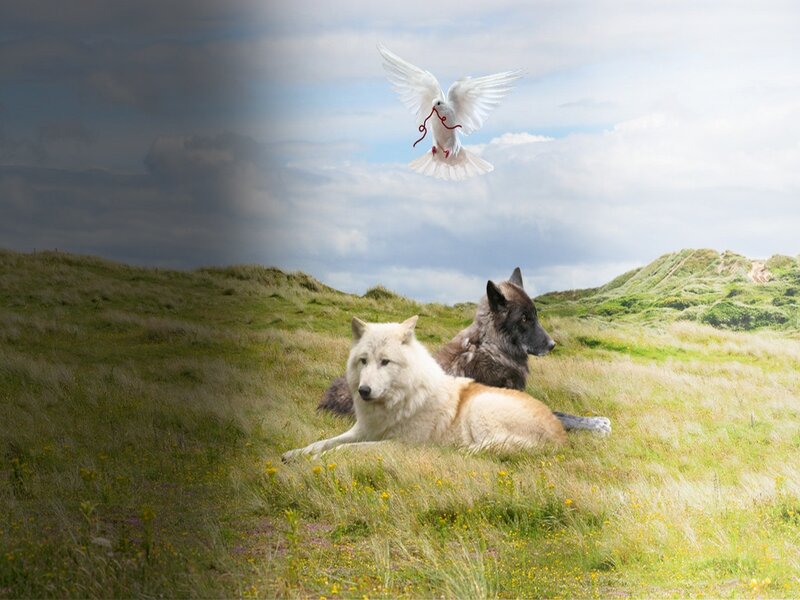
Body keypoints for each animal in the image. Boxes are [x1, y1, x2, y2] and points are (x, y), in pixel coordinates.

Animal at [283, 316, 567, 462]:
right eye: (363, 361)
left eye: (385, 362)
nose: (364, 391)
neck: (401, 401)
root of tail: (561, 436)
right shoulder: (360, 431)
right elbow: (323, 442)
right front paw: (295, 454)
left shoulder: (397, 445)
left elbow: (344, 450)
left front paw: (318, 460)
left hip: (481, 407)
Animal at [317, 268, 610, 434]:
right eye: (525, 318)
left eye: (536, 315)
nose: (552, 345)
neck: (493, 348)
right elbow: (558, 416)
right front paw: (598, 424)